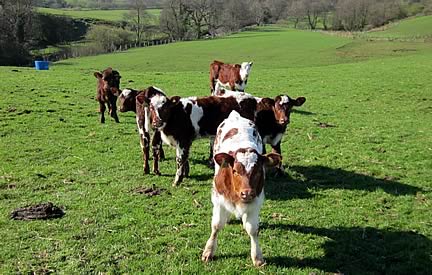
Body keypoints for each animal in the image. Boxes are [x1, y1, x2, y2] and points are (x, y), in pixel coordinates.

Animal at [202, 111, 282, 268]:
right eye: (235, 171)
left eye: (258, 171)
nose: (247, 193)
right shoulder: (218, 199)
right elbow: (216, 226)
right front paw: (208, 251)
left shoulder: (256, 202)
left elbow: (252, 229)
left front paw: (257, 256)